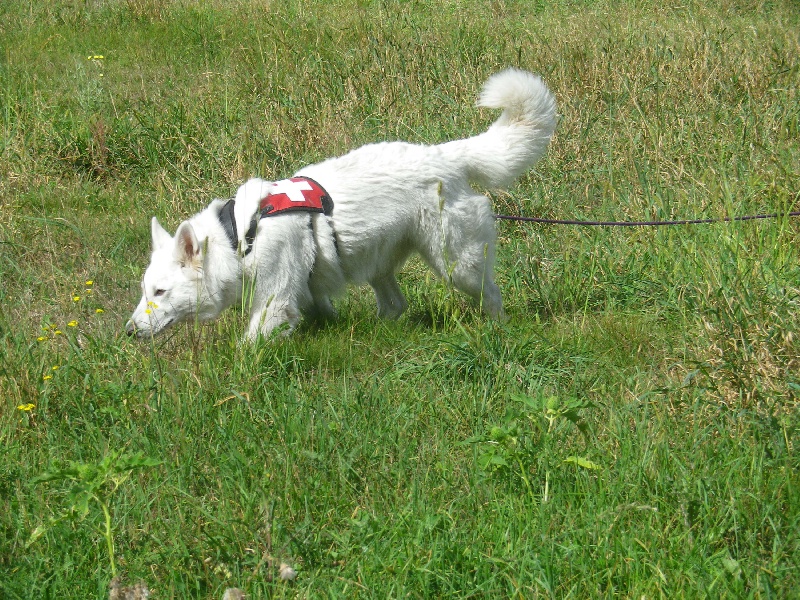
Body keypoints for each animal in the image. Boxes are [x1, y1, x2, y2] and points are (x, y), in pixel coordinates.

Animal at [128, 68, 560, 340]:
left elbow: (250, 347)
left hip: (457, 265)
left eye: (161, 292)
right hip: (378, 263)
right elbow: (320, 312)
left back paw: (498, 328)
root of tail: (445, 153)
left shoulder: (274, 300)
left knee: (491, 294)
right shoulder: (305, 292)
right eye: (146, 290)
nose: (129, 332)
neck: (240, 237)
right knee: (396, 304)